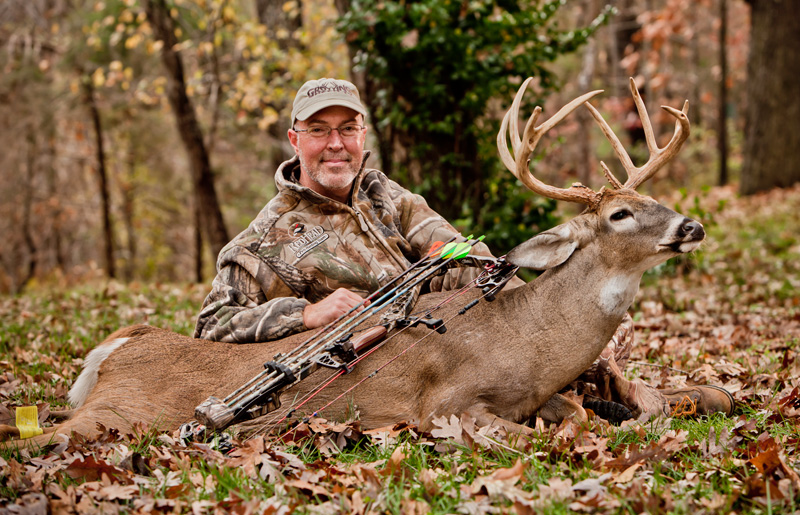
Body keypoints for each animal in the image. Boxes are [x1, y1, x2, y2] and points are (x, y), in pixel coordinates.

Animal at [4, 78, 705, 448]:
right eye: (620, 215)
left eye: (654, 201)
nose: (691, 226)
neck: (531, 340)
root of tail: (119, 345)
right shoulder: (446, 402)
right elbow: (542, 430)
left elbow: (580, 412)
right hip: (122, 414)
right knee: (39, 432)